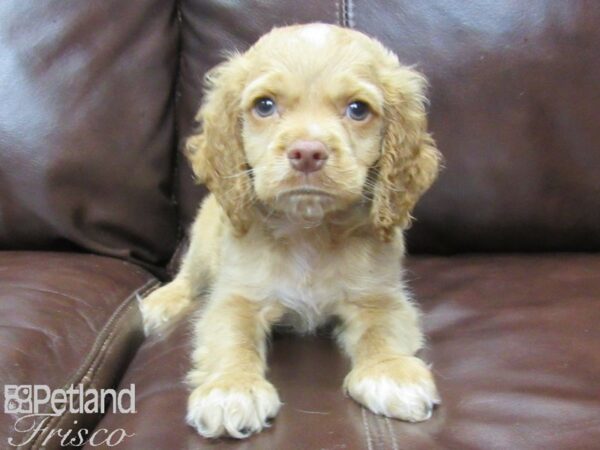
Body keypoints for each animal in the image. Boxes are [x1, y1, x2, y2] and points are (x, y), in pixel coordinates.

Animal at [141, 23, 440, 440]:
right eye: (265, 105)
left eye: (358, 109)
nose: (308, 153)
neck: (308, 229)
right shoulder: (237, 297)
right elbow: (232, 338)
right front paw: (232, 389)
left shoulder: (379, 296)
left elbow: (383, 330)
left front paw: (391, 373)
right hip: (201, 243)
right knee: (186, 278)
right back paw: (159, 304)